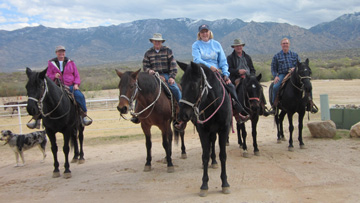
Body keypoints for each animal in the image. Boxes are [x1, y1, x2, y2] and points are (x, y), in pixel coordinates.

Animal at [176, 61, 231, 197]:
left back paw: (214, 161)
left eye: (193, 85)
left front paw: (225, 183)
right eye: (181, 83)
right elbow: (205, 155)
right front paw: (204, 185)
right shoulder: (203, 131)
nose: (182, 115)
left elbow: (223, 155)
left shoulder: (224, 130)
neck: (214, 104)